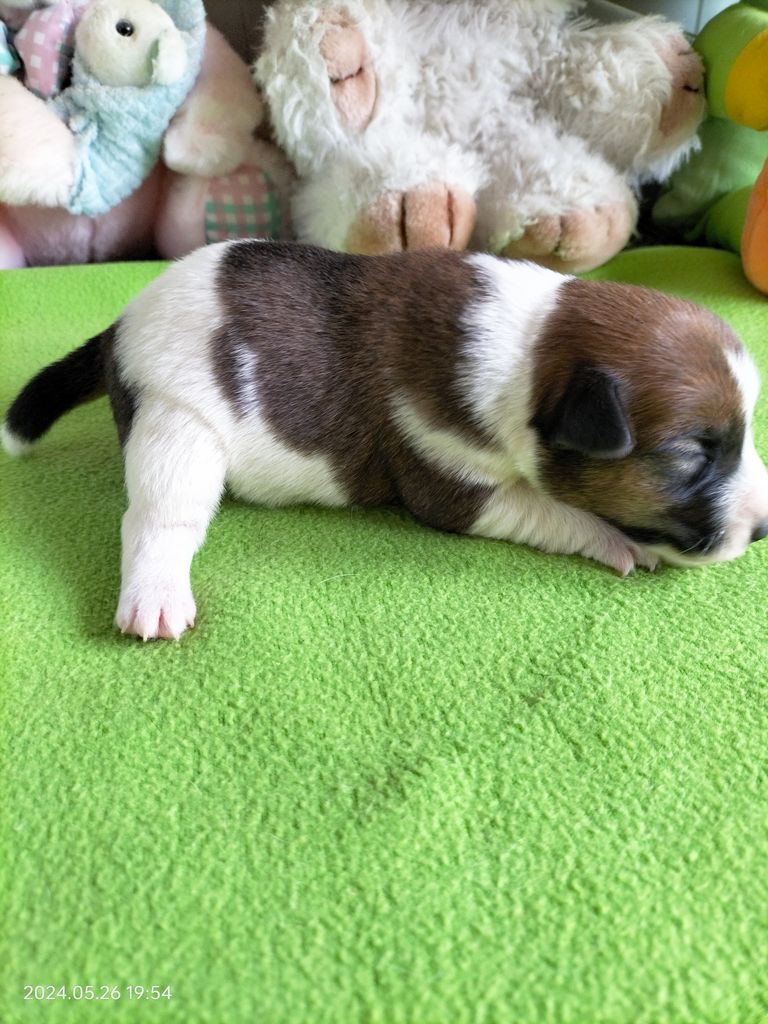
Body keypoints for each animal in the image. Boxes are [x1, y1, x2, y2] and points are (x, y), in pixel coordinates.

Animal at [4, 241, 768, 640]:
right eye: (691, 457)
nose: (761, 531)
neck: (530, 347)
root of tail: (122, 321)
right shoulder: (448, 477)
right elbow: (552, 509)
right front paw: (618, 541)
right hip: (176, 422)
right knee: (157, 518)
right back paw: (157, 596)